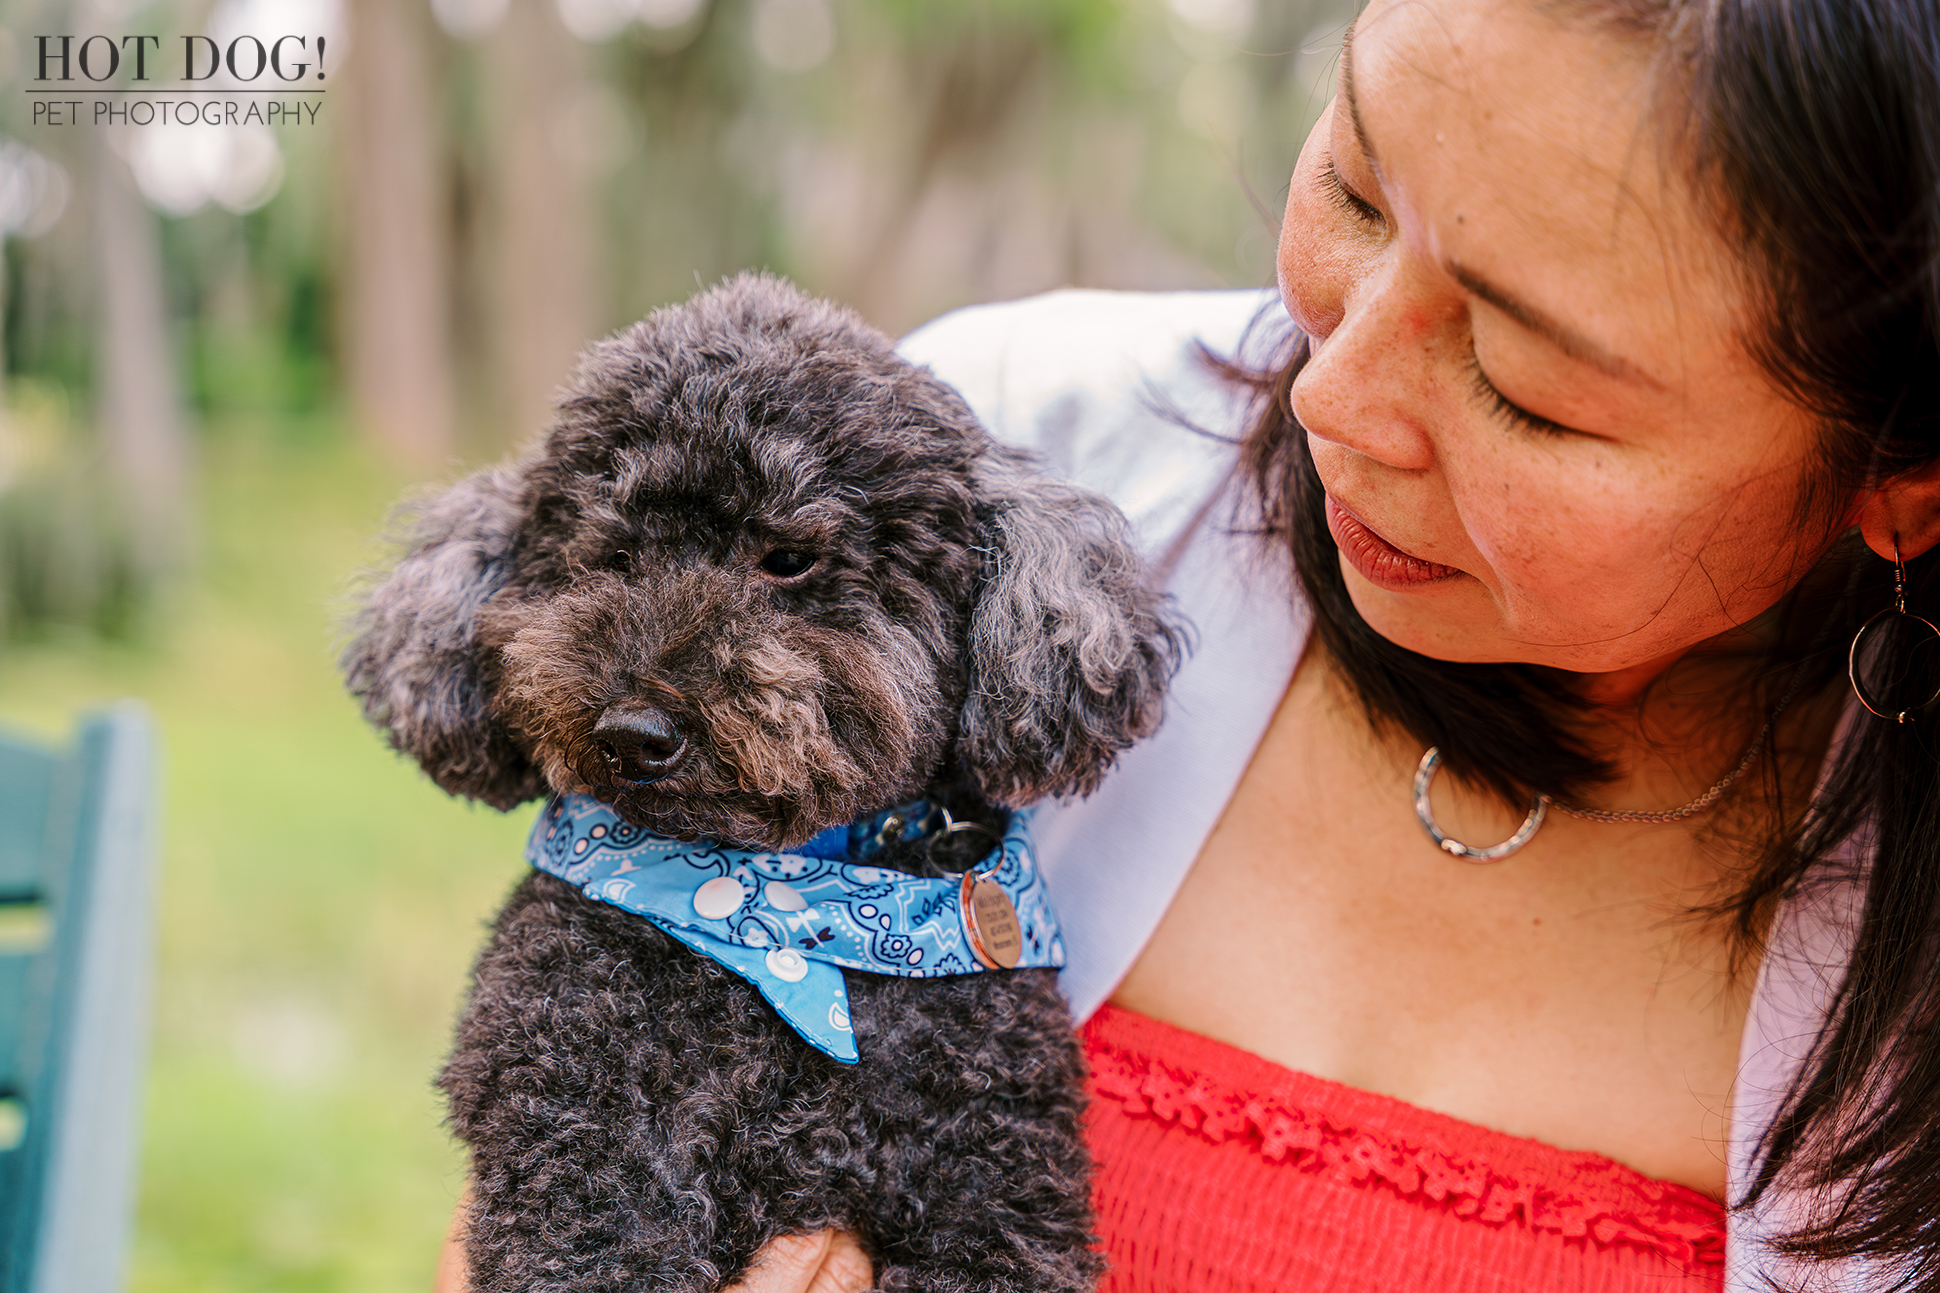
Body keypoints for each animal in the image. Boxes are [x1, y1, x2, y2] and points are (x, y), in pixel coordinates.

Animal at [341, 273, 1171, 1289]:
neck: (781, 905)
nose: (634, 733)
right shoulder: (579, 1143)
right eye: (614, 558)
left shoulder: (996, 1175)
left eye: (788, 559)